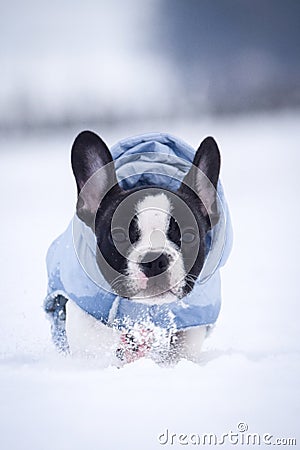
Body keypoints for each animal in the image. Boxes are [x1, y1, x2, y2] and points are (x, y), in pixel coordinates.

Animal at [44, 130, 232, 366]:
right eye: (118, 235)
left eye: (189, 236)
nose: (155, 260)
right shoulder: (86, 313)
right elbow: (96, 344)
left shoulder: (192, 326)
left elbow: (183, 349)